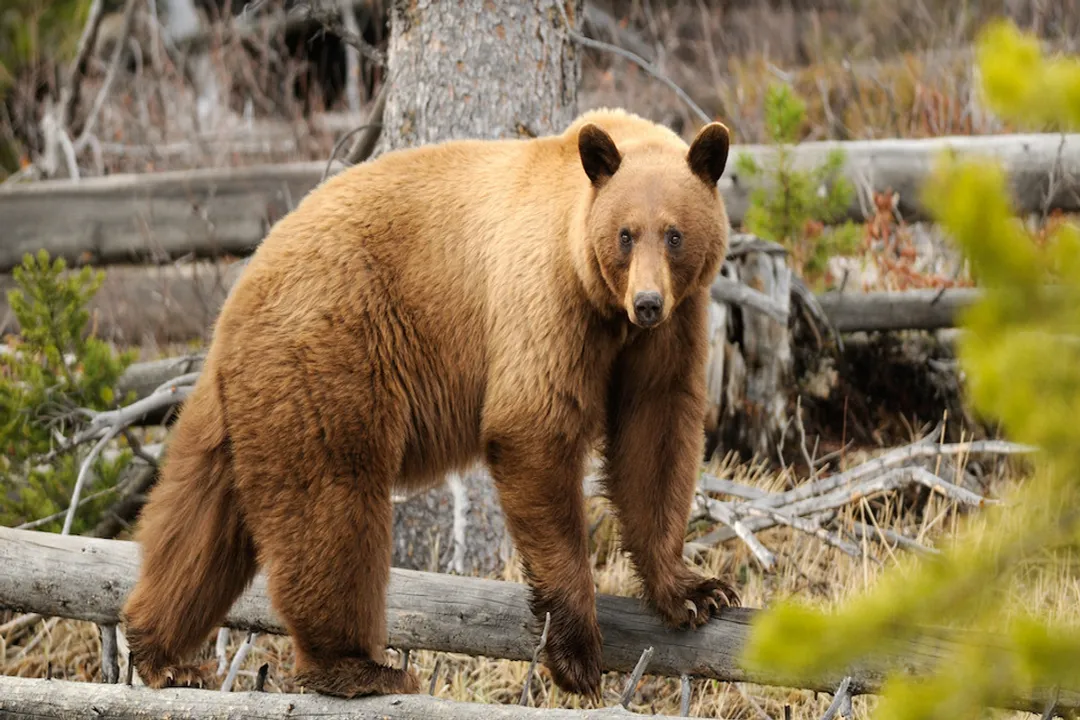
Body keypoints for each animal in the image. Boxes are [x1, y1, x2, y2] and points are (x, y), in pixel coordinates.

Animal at [120, 107, 740, 699]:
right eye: (625, 235)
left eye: (675, 235)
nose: (648, 300)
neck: (606, 307)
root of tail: (241, 289)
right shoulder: (546, 301)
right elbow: (533, 429)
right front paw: (577, 652)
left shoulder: (671, 330)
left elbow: (655, 434)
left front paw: (697, 591)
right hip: (330, 361)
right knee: (332, 507)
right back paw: (358, 666)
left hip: (240, 401)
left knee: (198, 519)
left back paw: (160, 652)